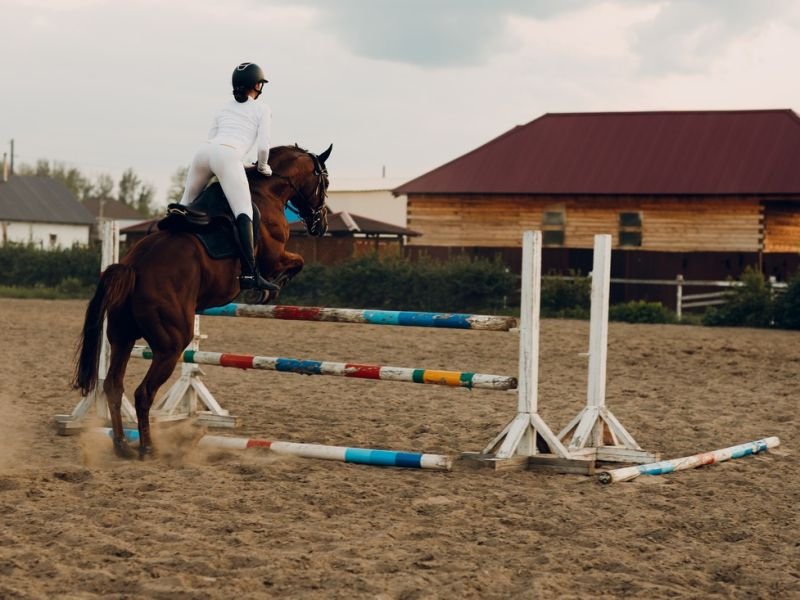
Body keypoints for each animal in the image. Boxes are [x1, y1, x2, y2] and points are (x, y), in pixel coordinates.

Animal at [70, 143, 330, 458]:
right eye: (325, 182)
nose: (321, 224)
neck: (268, 190)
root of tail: (132, 267)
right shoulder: (275, 255)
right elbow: (296, 262)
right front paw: (266, 288)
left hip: (123, 337)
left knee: (113, 386)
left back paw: (121, 444)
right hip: (171, 345)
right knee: (143, 392)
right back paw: (147, 447)